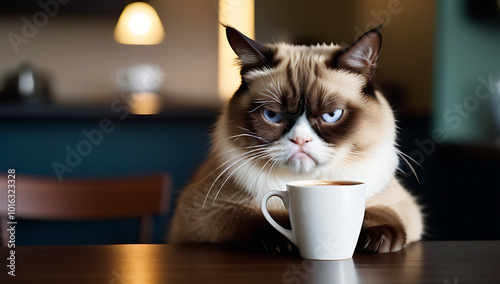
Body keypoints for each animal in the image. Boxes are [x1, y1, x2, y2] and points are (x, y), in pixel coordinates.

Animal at [168, 25, 422, 253]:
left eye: (332, 115)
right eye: (272, 115)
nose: (300, 140)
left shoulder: (395, 202)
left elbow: (378, 210)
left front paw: (376, 239)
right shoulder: (206, 211)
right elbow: (262, 215)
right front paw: (282, 239)